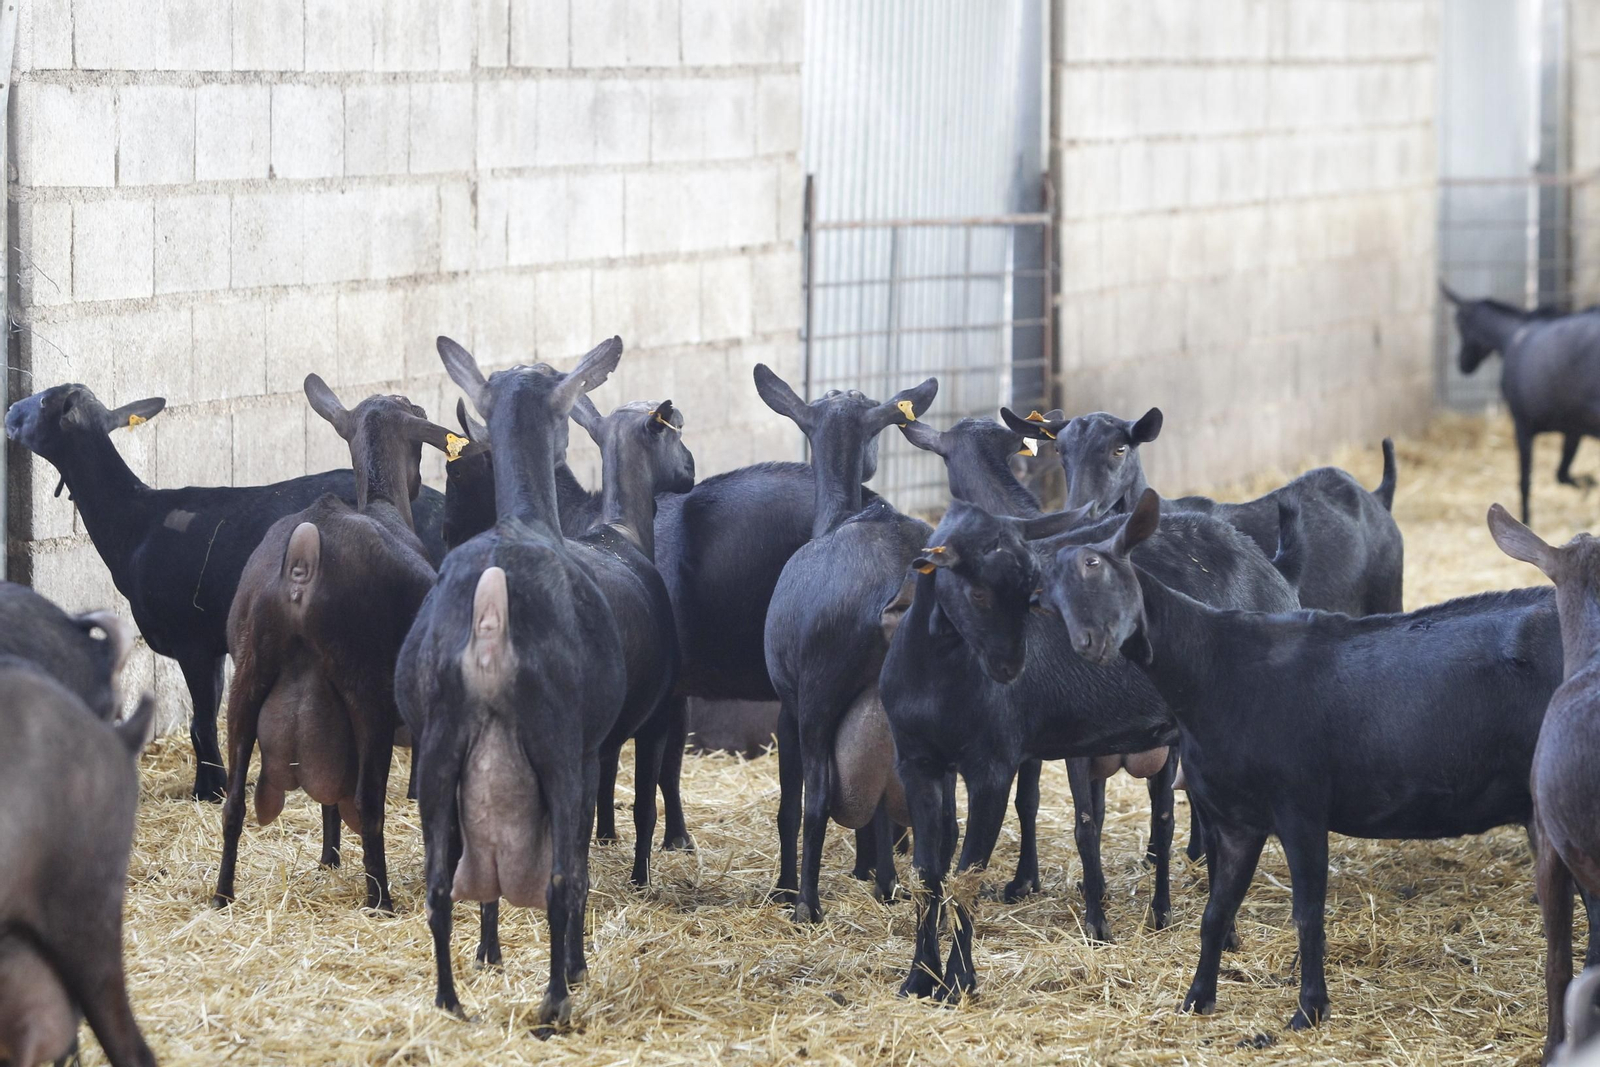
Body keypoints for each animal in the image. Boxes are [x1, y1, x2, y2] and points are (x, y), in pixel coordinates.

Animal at [213, 378, 455, 913]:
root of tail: (304, 559)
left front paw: (328, 859)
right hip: (365, 691)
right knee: (369, 801)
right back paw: (381, 899)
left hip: (248, 677)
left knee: (234, 798)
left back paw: (221, 895)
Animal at [396, 336, 628, 1029]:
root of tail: (491, 622)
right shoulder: (588, 746)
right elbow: (576, 863)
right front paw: (574, 966)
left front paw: (490, 955)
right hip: (554, 740)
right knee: (560, 878)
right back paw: (556, 998)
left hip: (438, 743)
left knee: (440, 883)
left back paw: (449, 1000)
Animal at [757, 366, 938, 920]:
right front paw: (883, 883)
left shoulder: (788, 706)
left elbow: (791, 804)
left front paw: (785, 889)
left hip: (818, 695)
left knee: (813, 799)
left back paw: (805, 907)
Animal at [1042, 489, 1568, 1031]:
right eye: (1049, 598)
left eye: (1100, 569)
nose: (1091, 643)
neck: (1214, 667)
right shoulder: (1238, 820)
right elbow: (1216, 914)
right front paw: (1196, 999)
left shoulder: (1301, 807)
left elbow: (1308, 913)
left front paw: (1310, 1009)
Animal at [1443, 286, 1600, 522]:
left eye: (1460, 325)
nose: (1463, 365)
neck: (1513, 335)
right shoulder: (1573, 430)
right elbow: (1562, 474)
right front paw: (1588, 484)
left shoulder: (1522, 426)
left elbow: (1526, 481)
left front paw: (1526, 520)